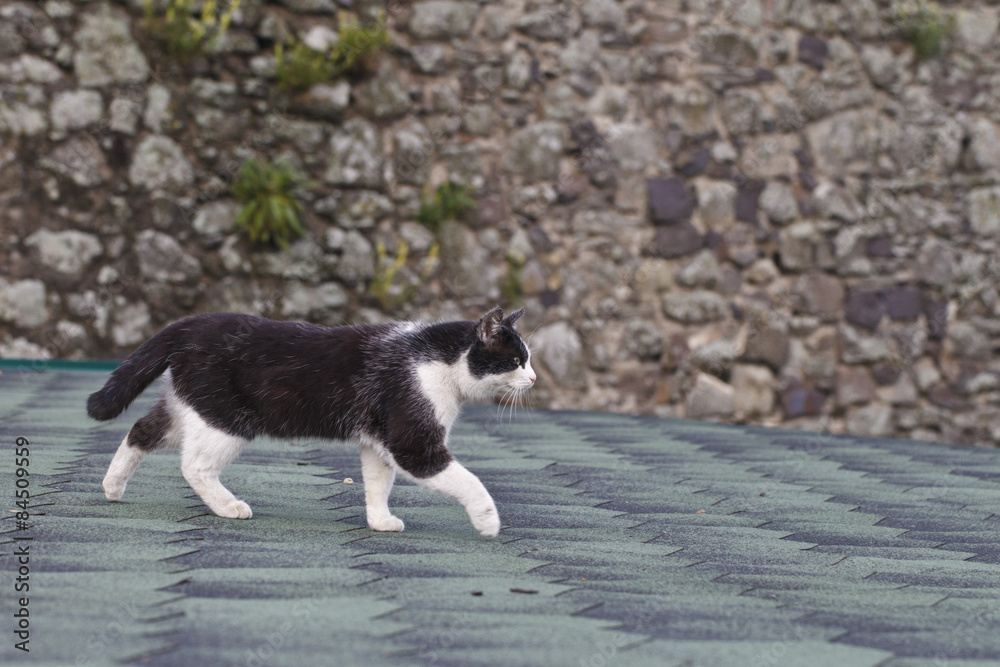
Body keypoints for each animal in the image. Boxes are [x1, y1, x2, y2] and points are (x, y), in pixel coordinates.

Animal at [90, 308, 536, 536]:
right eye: (516, 360)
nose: (533, 379)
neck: (437, 362)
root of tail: (190, 323)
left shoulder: (378, 440)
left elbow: (378, 482)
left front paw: (379, 521)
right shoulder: (413, 440)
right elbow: (468, 480)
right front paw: (488, 520)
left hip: (193, 405)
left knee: (142, 430)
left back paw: (112, 488)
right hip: (227, 417)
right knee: (193, 465)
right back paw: (229, 506)